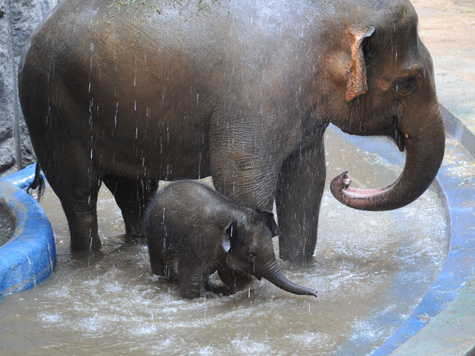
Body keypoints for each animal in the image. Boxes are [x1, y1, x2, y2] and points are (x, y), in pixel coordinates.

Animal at [18, 0, 444, 262]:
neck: (333, 12)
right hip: (50, 108)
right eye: (409, 82)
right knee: (78, 194)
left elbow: (305, 181)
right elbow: (243, 181)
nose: (348, 178)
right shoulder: (257, 96)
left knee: (133, 190)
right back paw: (89, 258)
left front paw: (299, 267)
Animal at [143, 179, 318, 298]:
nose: (316, 292)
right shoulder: (195, 246)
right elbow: (191, 289)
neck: (233, 215)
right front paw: (208, 295)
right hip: (155, 239)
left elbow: (234, 279)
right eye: (252, 254)